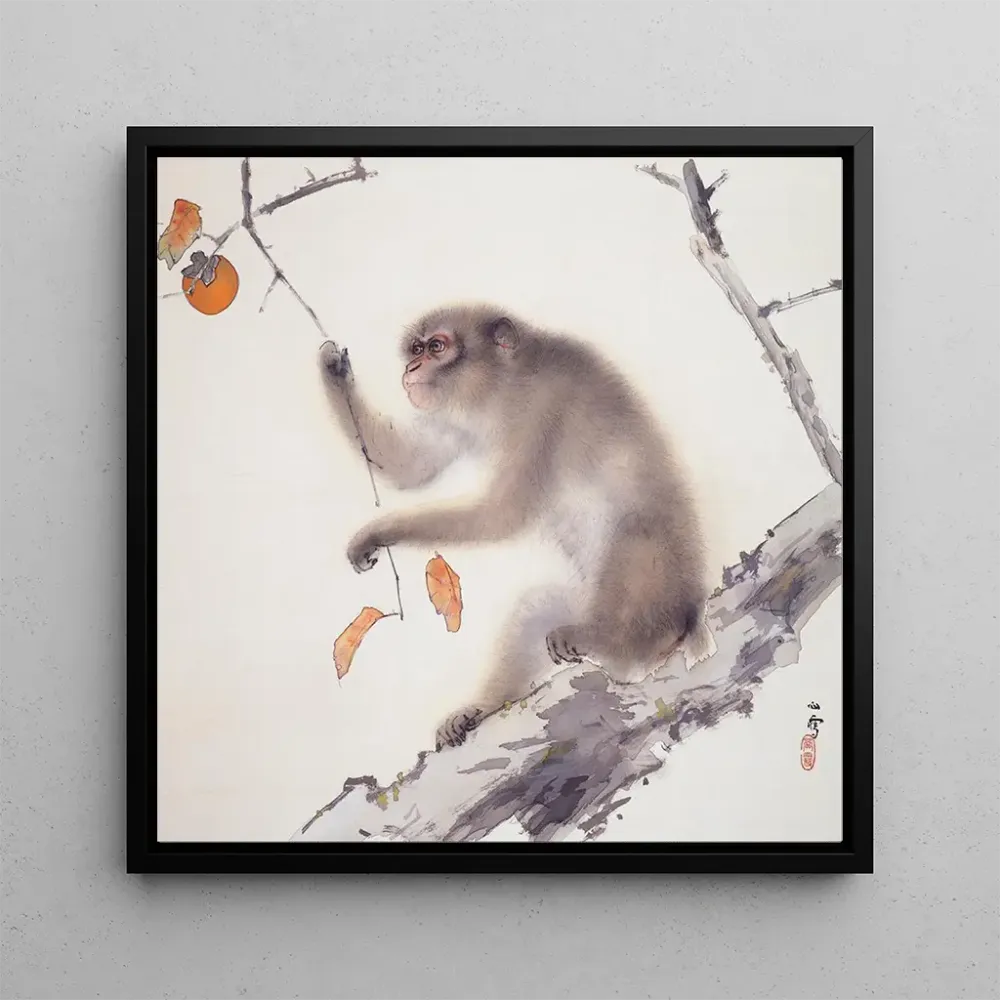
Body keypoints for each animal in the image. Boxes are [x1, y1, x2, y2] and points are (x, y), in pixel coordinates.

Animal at [318, 303, 711, 750]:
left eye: (436, 347)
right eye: (416, 349)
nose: (412, 367)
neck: (504, 387)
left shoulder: (542, 410)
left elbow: (501, 515)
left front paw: (378, 531)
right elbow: (411, 466)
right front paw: (333, 370)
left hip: (661, 592)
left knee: (635, 537)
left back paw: (618, 641)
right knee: (536, 609)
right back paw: (482, 710)